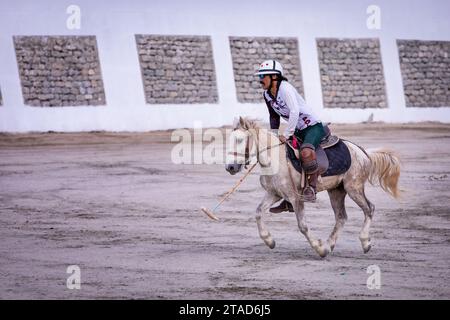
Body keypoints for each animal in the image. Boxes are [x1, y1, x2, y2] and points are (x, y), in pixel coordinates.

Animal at [225, 117, 400, 258]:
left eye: (239, 140)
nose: (230, 167)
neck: (275, 158)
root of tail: (362, 152)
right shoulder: (274, 194)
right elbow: (258, 212)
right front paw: (269, 240)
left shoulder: (296, 198)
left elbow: (302, 226)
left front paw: (318, 248)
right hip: (336, 191)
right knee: (341, 217)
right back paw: (329, 245)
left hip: (354, 188)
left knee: (369, 208)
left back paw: (364, 242)